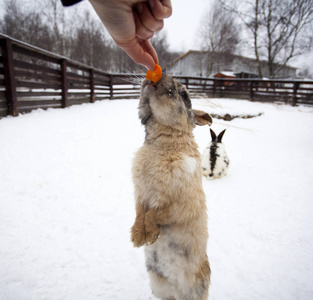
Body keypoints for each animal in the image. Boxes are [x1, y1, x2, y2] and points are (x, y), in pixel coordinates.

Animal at [129, 73, 212, 300]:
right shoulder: (141, 194)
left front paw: (149, 235)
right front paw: (137, 237)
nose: (154, 78)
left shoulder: (178, 205)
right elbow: (140, 212)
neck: (164, 144)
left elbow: (155, 214)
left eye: (183, 94)